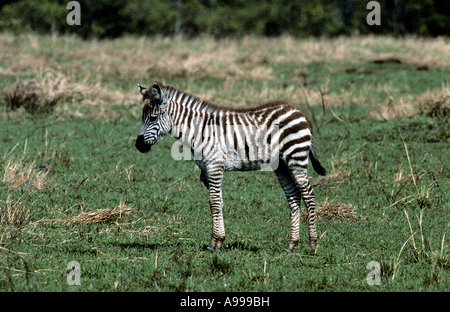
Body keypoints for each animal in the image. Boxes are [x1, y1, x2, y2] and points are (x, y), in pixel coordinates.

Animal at [134, 81, 326, 252]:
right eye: (142, 117)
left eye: (152, 118)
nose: (138, 146)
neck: (199, 131)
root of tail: (298, 111)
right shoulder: (208, 170)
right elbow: (218, 202)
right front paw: (219, 241)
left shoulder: (214, 167)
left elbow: (213, 203)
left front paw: (213, 244)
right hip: (282, 166)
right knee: (293, 197)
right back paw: (291, 245)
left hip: (296, 158)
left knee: (308, 194)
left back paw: (312, 244)